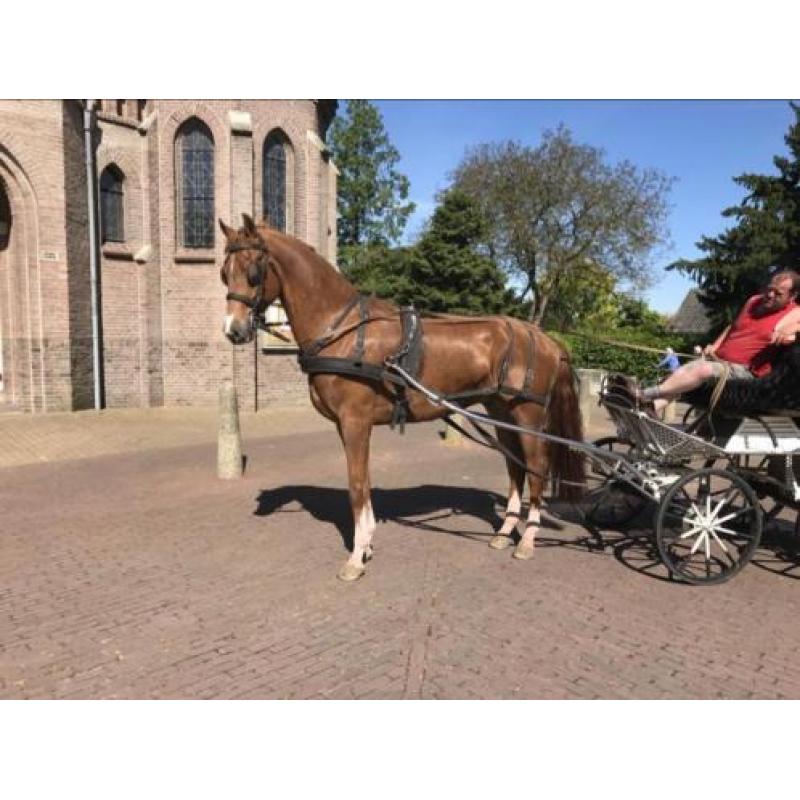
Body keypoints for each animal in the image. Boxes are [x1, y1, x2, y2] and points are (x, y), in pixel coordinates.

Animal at [219, 214, 585, 581]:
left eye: (253, 272)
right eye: (224, 272)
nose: (233, 331)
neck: (343, 331)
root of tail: (544, 336)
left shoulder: (355, 422)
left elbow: (356, 485)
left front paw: (356, 557)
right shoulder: (349, 425)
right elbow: (364, 482)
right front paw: (366, 544)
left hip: (528, 417)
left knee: (536, 468)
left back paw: (527, 541)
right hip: (501, 412)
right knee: (514, 468)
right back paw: (504, 533)